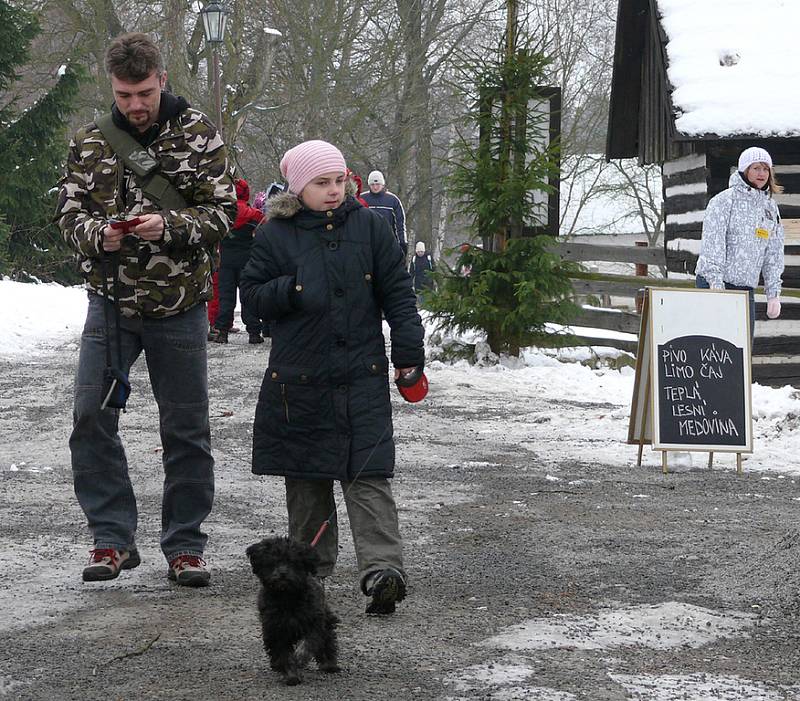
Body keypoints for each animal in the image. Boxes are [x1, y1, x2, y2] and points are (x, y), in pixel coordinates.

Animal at [247, 536, 340, 684]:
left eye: (293, 562)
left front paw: (300, 658)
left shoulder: (314, 622)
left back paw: (329, 664)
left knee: (328, 640)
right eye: (273, 562)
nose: (283, 573)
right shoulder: (275, 629)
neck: (287, 596)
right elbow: (284, 654)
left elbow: (308, 643)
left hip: (325, 619)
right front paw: (291, 676)